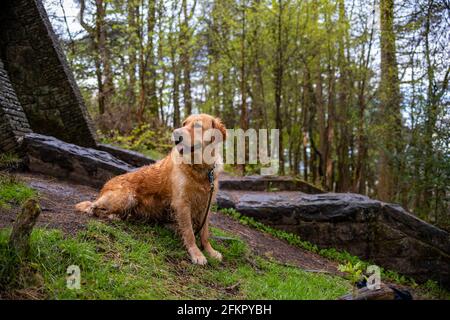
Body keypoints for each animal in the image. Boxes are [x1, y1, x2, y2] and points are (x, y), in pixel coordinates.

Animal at [76, 114, 229, 264]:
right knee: (94, 207)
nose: (175, 134)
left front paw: (210, 251)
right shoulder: (182, 203)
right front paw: (196, 254)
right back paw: (114, 216)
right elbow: (189, 232)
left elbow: (204, 233)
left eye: (197, 125)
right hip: (127, 197)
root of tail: (104, 186)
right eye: (184, 123)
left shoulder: (206, 204)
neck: (200, 169)